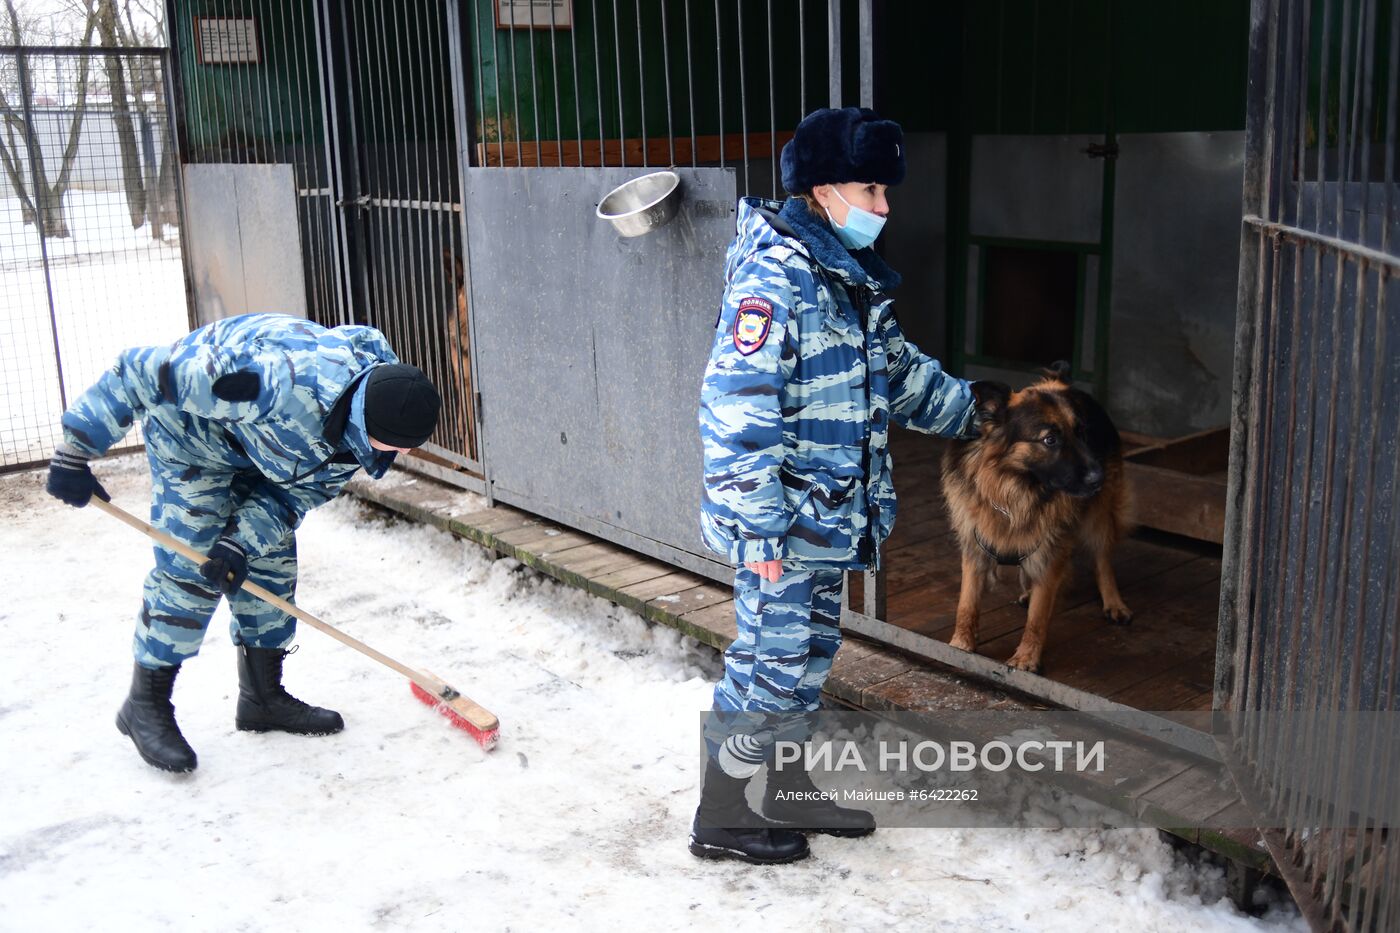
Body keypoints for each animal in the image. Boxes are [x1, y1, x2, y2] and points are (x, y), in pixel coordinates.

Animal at [935, 358, 1131, 672]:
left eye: (1081, 432)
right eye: (1050, 440)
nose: (1098, 478)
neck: (1015, 489)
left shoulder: (1051, 550)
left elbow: (1037, 618)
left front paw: (1026, 659)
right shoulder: (975, 545)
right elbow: (967, 603)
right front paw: (961, 645)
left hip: (1098, 516)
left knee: (1102, 558)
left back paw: (1113, 602)